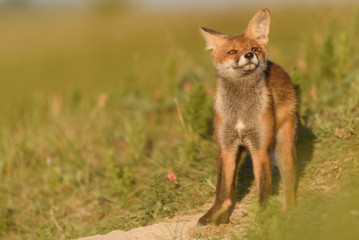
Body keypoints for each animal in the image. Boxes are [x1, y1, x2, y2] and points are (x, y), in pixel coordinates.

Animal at [200, 7, 298, 225]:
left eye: (254, 47)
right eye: (232, 52)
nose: (249, 54)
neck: (241, 112)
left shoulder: (259, 147)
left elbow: (263, 189)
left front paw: (261, 217)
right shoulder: (226, 147)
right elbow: (222, 190)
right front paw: (219, 218)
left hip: (282, 147)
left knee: (289, 181)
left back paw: (289, 211)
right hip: (238, 150)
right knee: (228, 188)